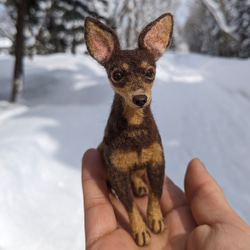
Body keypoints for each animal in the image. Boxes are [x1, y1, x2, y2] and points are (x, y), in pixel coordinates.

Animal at [84, 13, 174, 246]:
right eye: (117, 75)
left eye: (150, 72)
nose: (140, 98)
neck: (135, 130)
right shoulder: (118, 171)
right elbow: (130, 206)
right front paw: (141, 231)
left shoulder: (157, 161)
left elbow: (156, 195)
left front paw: (156, 220)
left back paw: (141, 186)